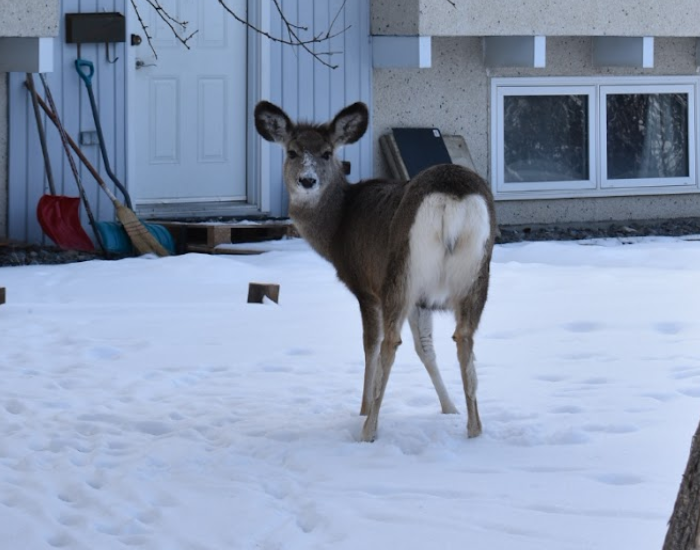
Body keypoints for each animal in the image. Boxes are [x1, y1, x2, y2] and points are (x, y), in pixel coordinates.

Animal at [254, 101, 497, 442]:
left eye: (327, 152)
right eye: (292, 151)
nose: (307, 181)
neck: (337, 226)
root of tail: (453, 197)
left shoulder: (366, 287)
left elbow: (370, 344)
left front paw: (364, 408)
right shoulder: (422, 299)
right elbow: (426, 349)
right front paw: (449, 408)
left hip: (401, 270)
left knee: (390, 341)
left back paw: (368, 429)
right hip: (476, 273)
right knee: (464, 336)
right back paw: (474, 428)